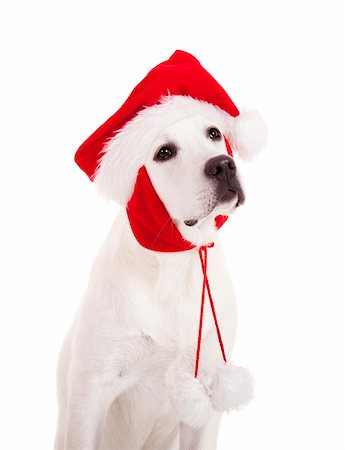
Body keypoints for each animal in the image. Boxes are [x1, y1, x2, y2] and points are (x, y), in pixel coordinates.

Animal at [54, 54, 266, 448]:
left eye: (213, 133)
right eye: (164, 153)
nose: (223, 164)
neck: (174, 261)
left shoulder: (206, 390)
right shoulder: (90, 394)